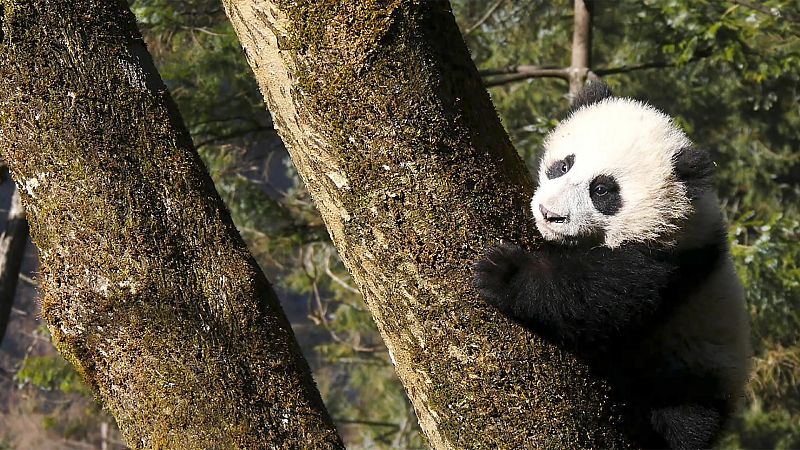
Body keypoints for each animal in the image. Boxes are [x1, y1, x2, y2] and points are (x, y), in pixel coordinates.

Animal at [472, 81, 752, 449]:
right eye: (564, 165)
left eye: (602, 190)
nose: (550, 214)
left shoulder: (670, 259)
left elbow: (600, 297)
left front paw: (504, 272)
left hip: (698, 371)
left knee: (685, 419)